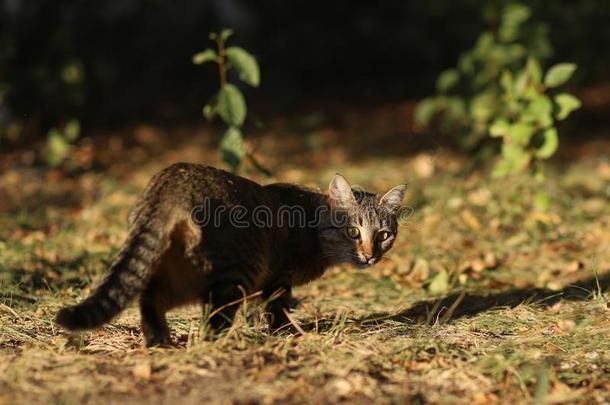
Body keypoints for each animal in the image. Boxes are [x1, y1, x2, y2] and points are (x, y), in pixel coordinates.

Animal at [54, 163, 406, 346]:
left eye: (383, 235)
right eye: (353, 232)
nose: (370, 256)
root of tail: (170, 178)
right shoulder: (277, 276)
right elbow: (277, 308)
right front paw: (285, 333)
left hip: (178, 272)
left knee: (150, 300)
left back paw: (159, 340)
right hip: (234, 271)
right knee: (212, 318)